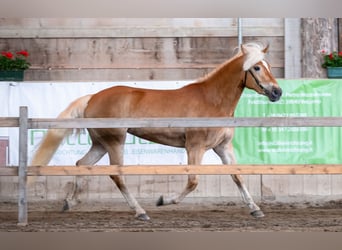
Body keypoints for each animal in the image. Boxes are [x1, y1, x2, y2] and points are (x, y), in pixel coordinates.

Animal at [31, 42, 284, 221]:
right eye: (257, 67)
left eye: (269, 66)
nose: (277, 92)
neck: (212, 100)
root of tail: (93, 97)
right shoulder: (195, 147)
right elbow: (193, 181)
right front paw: (163, 200)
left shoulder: (222, 147)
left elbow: (237, 176)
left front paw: (255, 209)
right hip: (115, 142)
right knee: (117, 175)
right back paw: (140, 211)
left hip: (101, 143)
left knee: (82, 164)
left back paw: (70, 203)